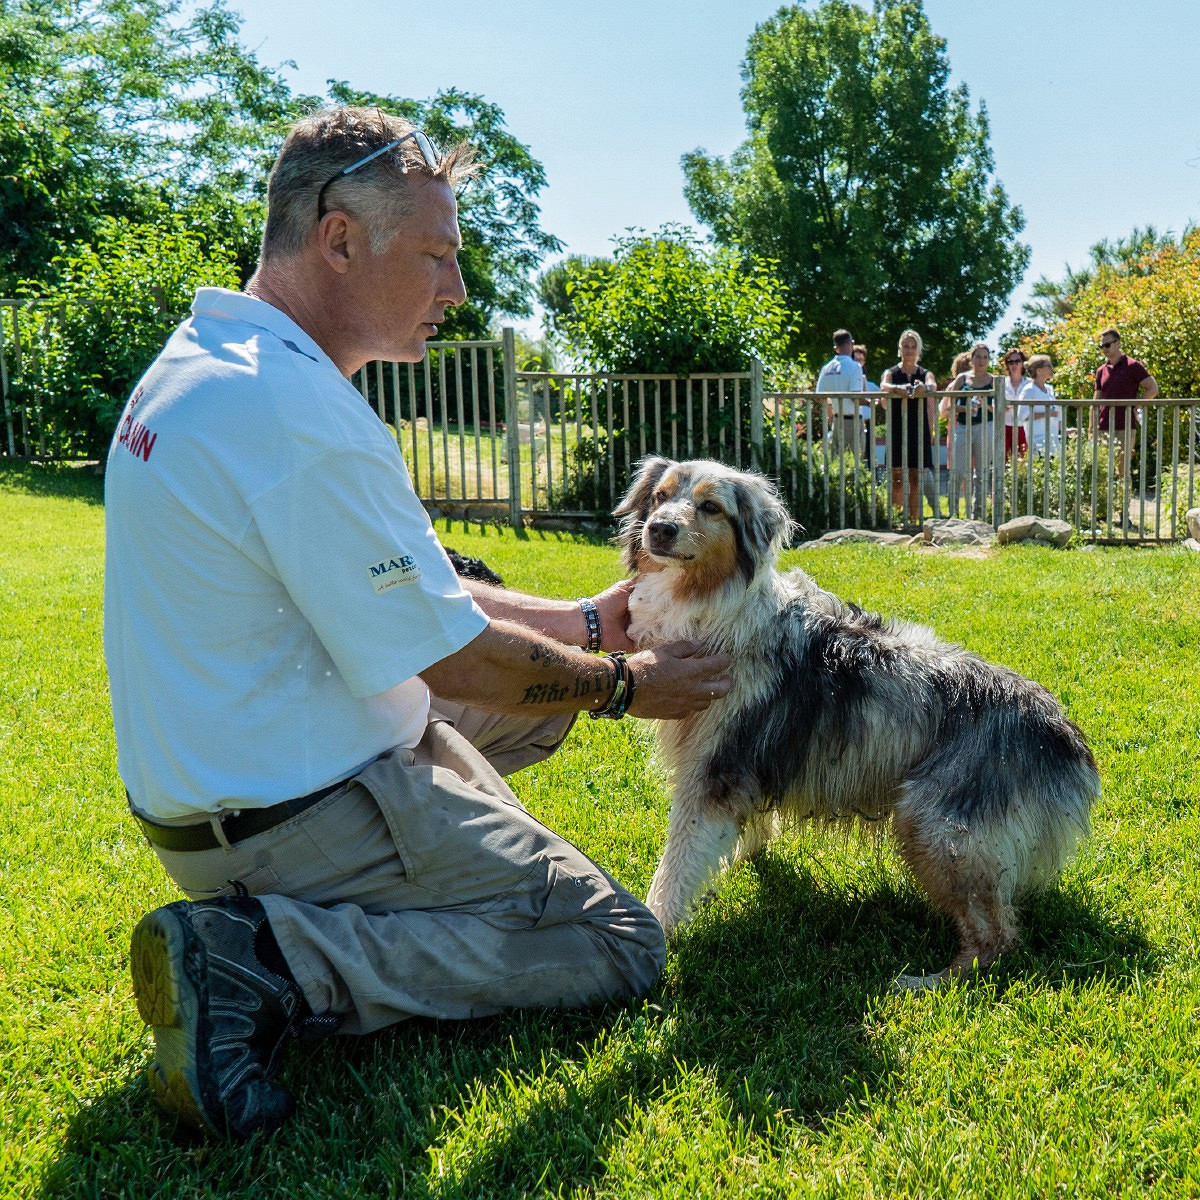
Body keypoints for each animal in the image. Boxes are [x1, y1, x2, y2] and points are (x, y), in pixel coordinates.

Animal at [619, 453, 1099, 988]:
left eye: (710, 507)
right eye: (660, 497)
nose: (659, 529)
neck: (716, 604)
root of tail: (1063, 736)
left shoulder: (710, 773)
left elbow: (675, 867)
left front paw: (657, 928)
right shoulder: (749, 765)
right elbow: (747, 827)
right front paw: (739, 861)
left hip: (936, 827)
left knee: (997, 938)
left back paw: (925, 983)